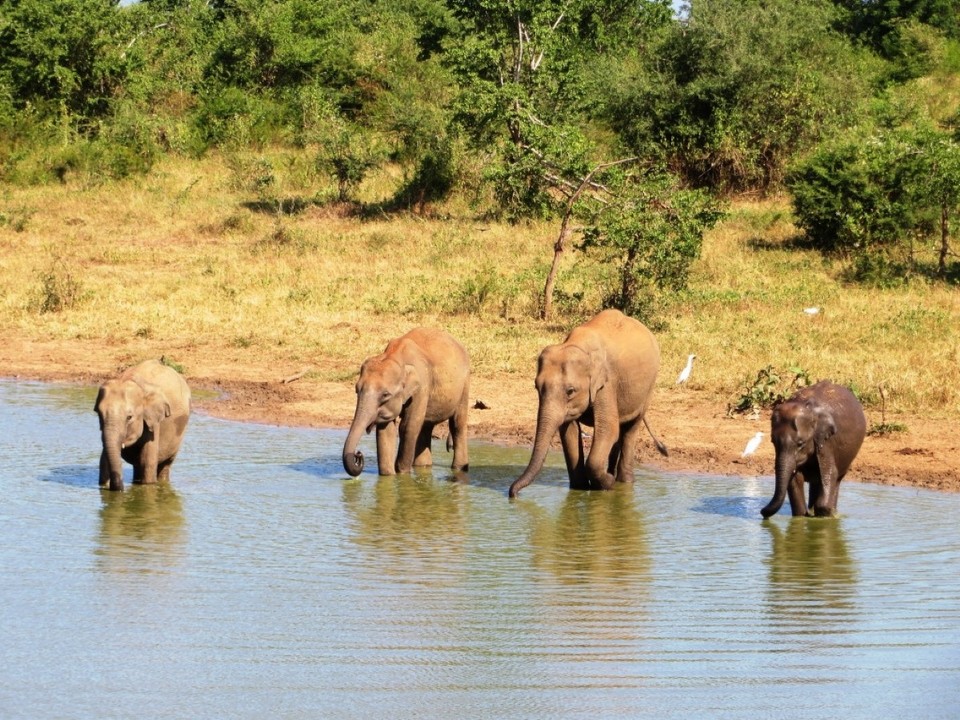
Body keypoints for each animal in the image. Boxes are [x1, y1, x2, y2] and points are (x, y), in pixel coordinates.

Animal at [93, 358, 191, 492]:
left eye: (129, 417)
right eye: (99, 414)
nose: (120, 490)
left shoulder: (154, 421)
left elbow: (147, 462)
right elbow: (103, 461)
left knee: (165, 465)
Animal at [510, 306, 668, 498]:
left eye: (570, 391)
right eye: (536, 387)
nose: (513, 494)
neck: (578, 346)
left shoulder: (606, 384)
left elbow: (607, 429)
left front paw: (607, 484)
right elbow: (569, 431)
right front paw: (581, 488)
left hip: (648, 387)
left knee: (630, 428)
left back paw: (623, 481)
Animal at [760, 382, 868, 516]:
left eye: (800, 443)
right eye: (773, 442)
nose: (762, 512)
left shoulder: (826, 441)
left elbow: (831, 473)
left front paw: (827, 514)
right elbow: (795, 481)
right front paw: (804, 515)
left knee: (836, 479)